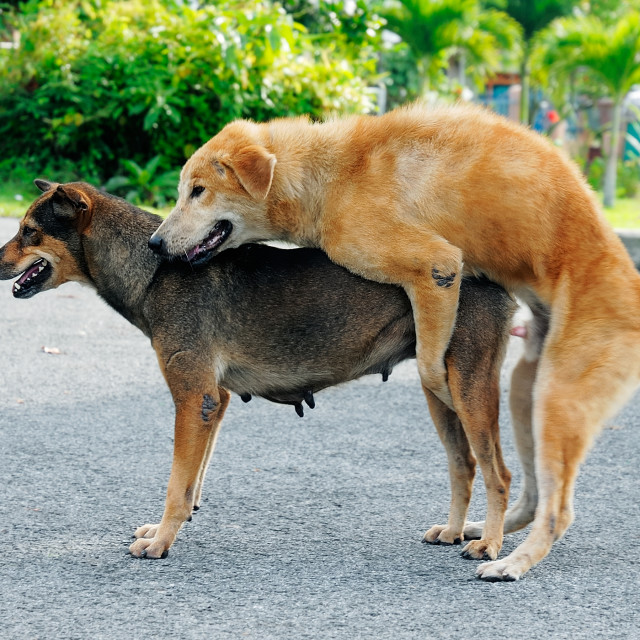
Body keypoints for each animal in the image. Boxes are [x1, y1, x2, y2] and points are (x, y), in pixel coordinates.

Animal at [0, 181, 516, 564]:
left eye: (28, 231)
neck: (155, 268)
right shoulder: (215, 400)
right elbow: (192, 481)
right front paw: (171, 528)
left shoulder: (193, 398)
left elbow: (176, 486)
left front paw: (162, 542)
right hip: (439, 391)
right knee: (464, 465)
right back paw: (453, 531)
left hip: (468, 390)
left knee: (499, 474)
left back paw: (488, 544)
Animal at [150, 101, 640, 580]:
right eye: (182, 190)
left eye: (197, 191)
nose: (154, 243)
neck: (329, 178)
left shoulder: (440, 267)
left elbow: (431, 369)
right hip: (526, 392)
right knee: (529, 489)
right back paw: (481, 530)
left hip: (558, 399)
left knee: (549, 503)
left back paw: (505, 557)